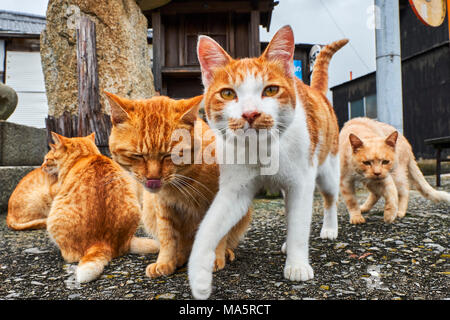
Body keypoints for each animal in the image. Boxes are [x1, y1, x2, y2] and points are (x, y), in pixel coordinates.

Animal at [106, 91, 253, 278]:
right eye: (137, 156)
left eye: (169, 155)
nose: (153, 178)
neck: (182, 184)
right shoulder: (163, 207)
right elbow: (167, 237)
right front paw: (165, 262)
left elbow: (218, 235)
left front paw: (214, 257)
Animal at [187, 25, 348, 300]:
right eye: (227, 93)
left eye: (271, 90)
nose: (250, 114)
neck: (261, 150)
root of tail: (315, 90)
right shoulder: (235, 191)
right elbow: (209, 225)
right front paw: (199, 274)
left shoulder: (301, 184)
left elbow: (300, 224)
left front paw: (297, 264)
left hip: (326, 170)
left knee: (329, 200)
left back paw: (329, 229)